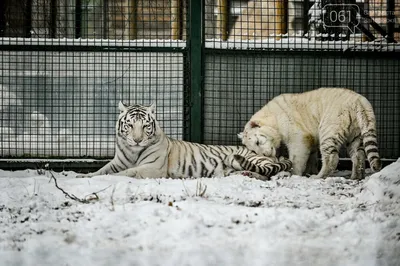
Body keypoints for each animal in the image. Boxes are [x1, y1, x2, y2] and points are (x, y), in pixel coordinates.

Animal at [76, 102, 292, 181]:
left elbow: (128, 172)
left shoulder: (152, 168)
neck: (132, 151)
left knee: (275, 171)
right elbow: (101, 170)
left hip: (249, 159)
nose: (137, 140)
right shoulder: (117, 162)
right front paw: (84, 176)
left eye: (145, 126)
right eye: (129, 125)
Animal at [238, 88, 382, 180]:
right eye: (254, 151)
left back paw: (318, 176)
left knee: (331, 158)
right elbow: (311, 157)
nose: (266, 155)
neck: (272, 118)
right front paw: (309, 170)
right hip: (355, 134)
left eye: (258, 142)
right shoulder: (312, 140)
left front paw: (295, 173)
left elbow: (296, 157)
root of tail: (360, 101)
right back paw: (355, 177)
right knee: (358, 155)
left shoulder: (298, 137)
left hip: (329, 128)